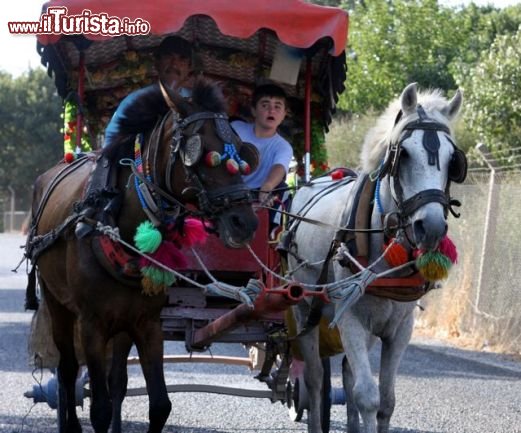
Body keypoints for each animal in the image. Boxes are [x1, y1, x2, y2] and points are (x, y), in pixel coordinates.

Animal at [26, 81, 258, 432]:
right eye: (203, 152)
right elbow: (99, 408)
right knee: (67, 370)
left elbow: (159, 404)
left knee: (117, 380)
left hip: (122, 325)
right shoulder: (92, 324)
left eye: (241, 152)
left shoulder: (148, 322)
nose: (245, 222)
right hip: (57, 303)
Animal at [288, 82, 464, 430]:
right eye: (403, 154)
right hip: (304, 310)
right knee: (314, 378)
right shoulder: (350, 319)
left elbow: (386, 401)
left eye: (453, 160)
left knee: (347, 372)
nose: (431, 227)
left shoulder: (400, 328)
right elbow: (368, 396)